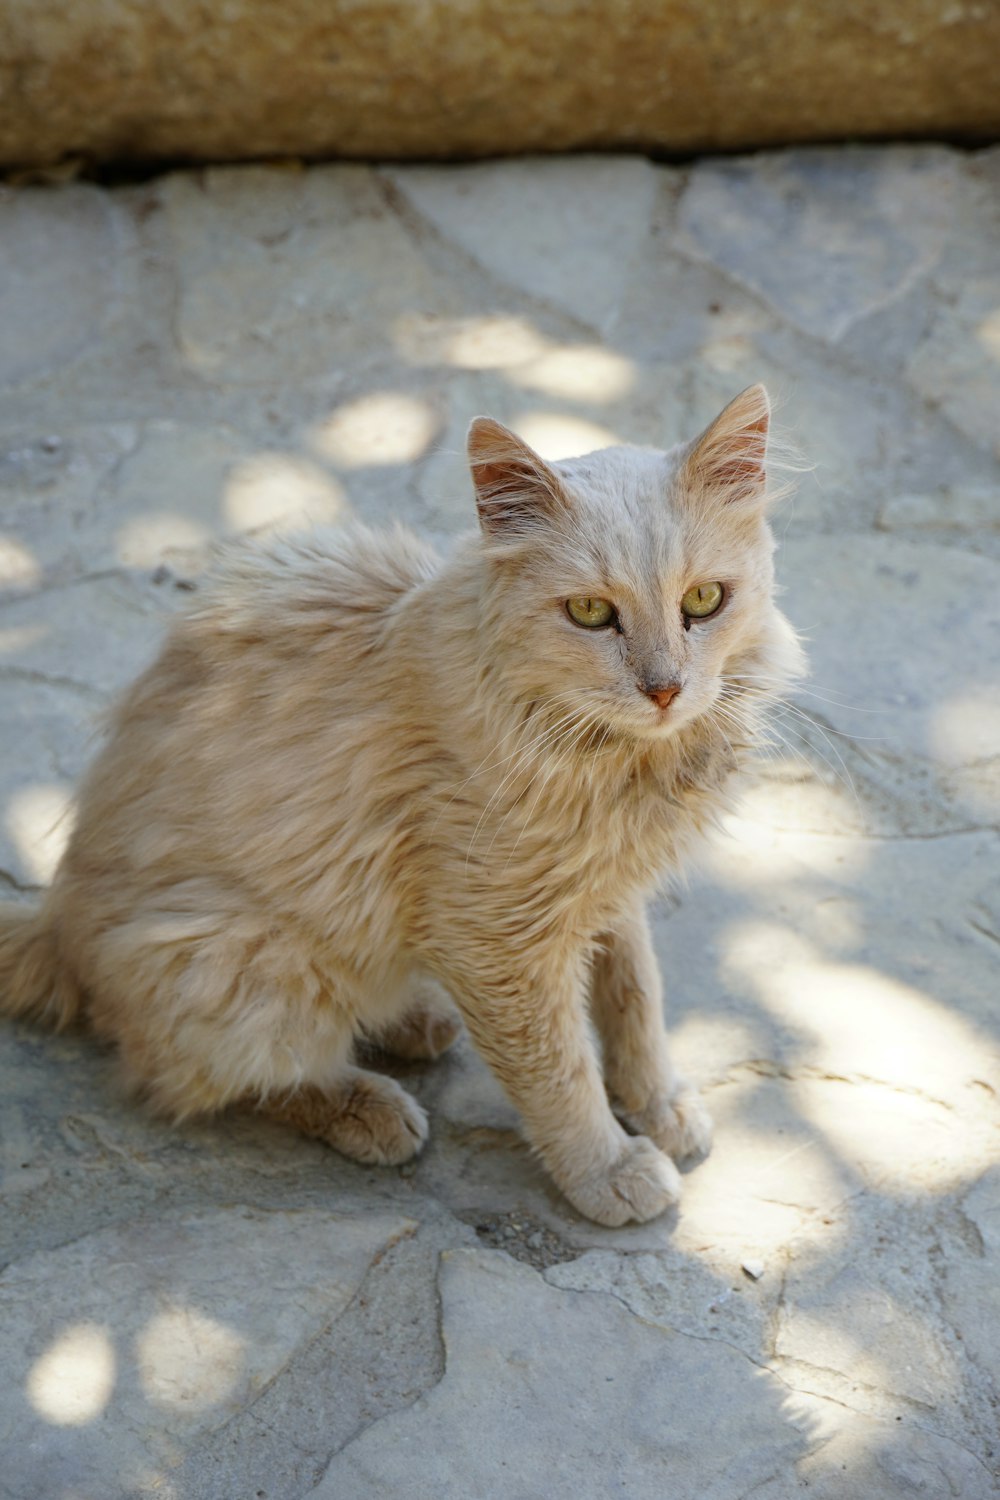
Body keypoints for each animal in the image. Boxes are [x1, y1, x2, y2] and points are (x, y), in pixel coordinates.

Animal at [0, 387, 803, 1230]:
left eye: (703, 601)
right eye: (589, 612)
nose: (664, 688)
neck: (619, 762)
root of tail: (56, 929)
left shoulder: (608, 889)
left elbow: (635, 999)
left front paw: (660, 1102)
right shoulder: (497, 941)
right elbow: (558, 1070)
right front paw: (609, 1168)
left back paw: (413, 1019)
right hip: (242, 962)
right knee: (215, 1079)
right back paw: (371, 1107)